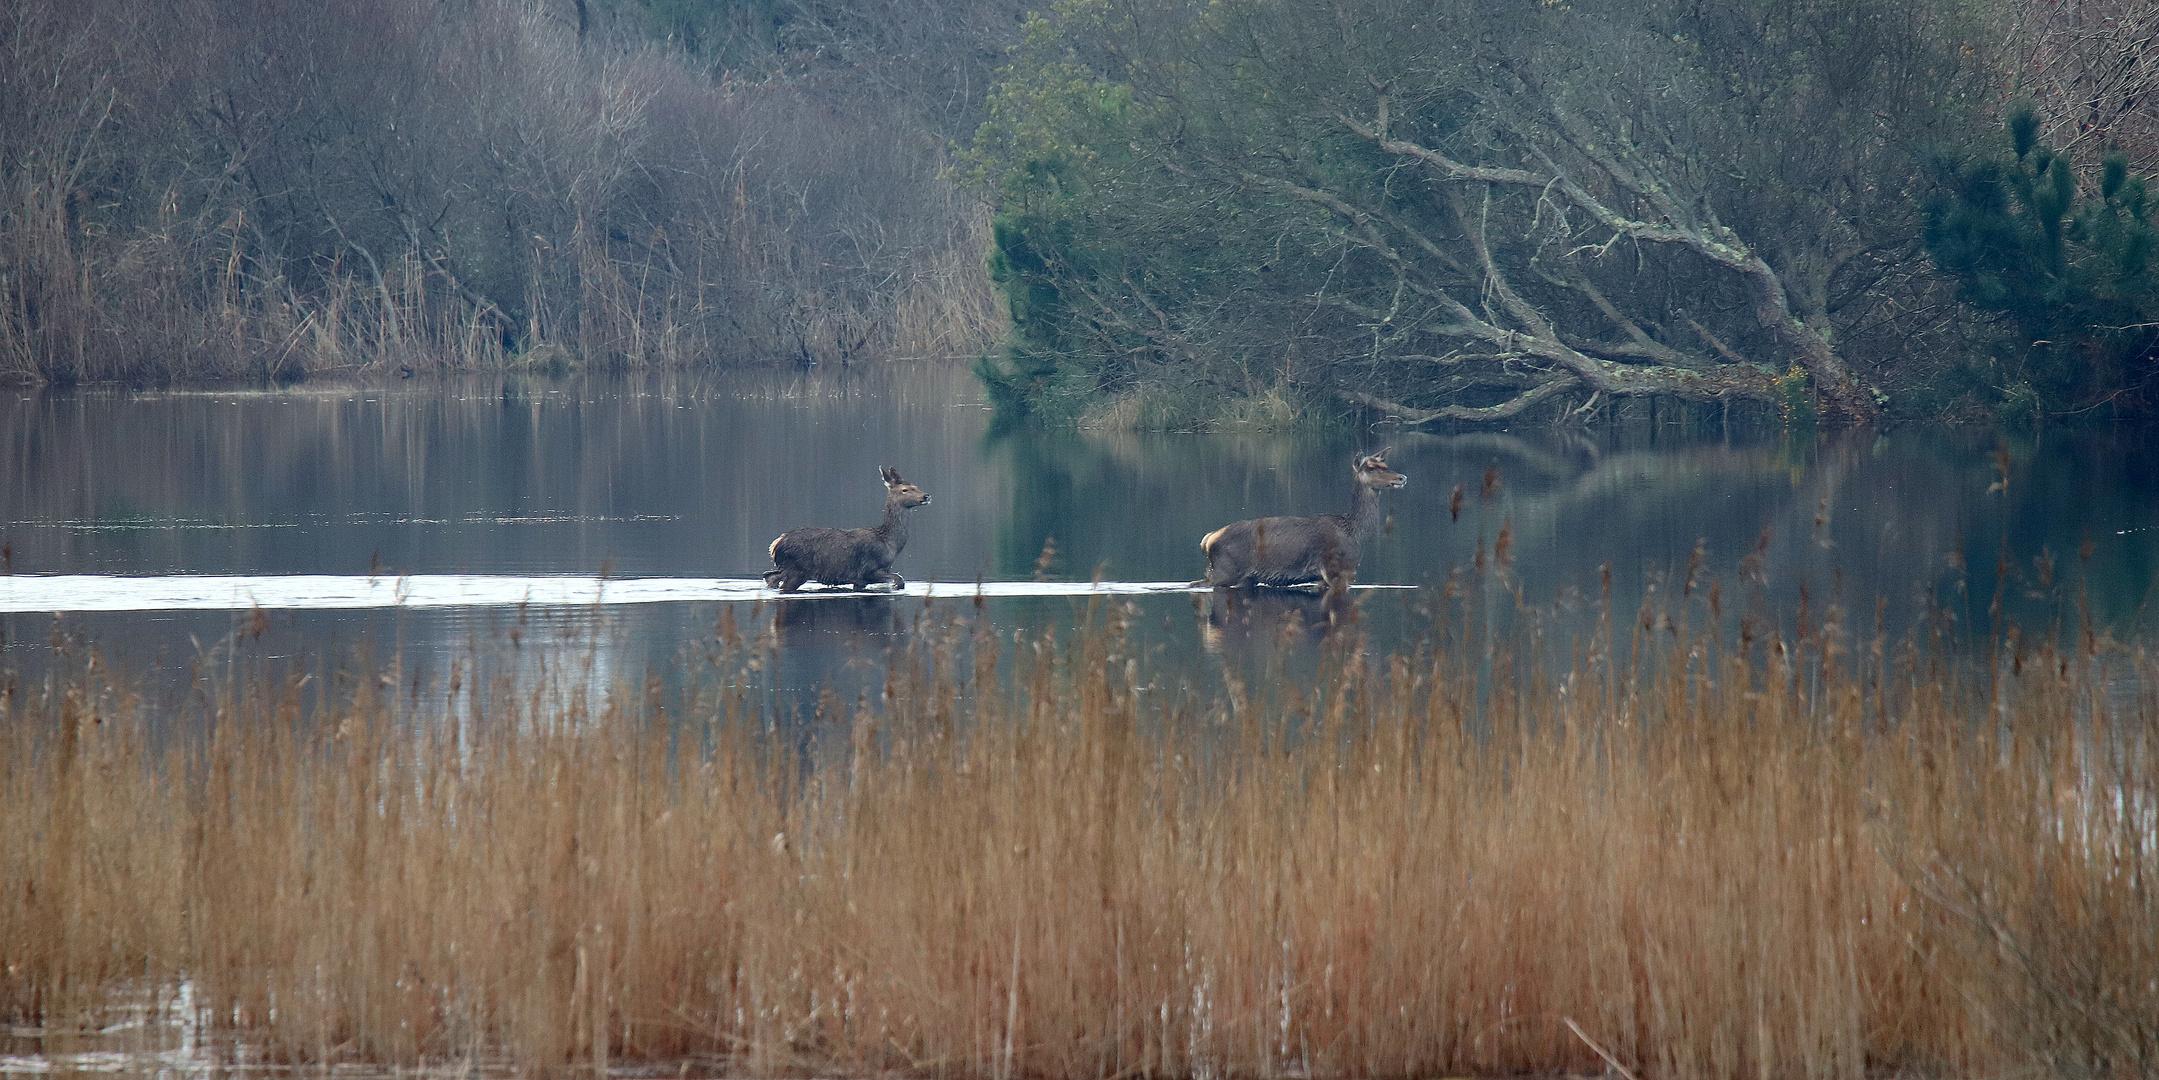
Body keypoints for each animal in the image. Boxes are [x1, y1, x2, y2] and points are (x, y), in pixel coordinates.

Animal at [759, 466, 928, 596]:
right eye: (905, 490)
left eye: (916, 486)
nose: (926, 496)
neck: (889, 543)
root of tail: (776, 543)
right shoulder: (867, 570)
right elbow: (900, 580)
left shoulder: (861, 579)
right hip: (797, 570)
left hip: (786, 567)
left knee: (769, 576)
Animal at [1191, 451, 1407, 596]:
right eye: (1371, 467)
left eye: (1385, 464)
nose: (1401, 477)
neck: (1355, 533)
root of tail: (1208, 539)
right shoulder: (1338, 570)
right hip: (1225, 571)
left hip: (1243, 578)